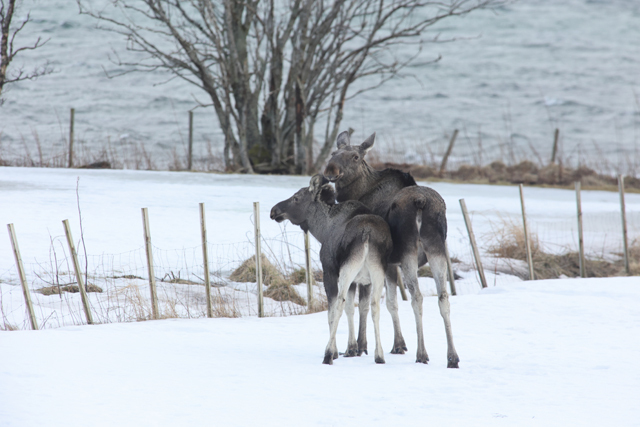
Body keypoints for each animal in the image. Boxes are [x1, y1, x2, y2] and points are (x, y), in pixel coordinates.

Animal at [270, 175, 393, 365]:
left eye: (296, 198)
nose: (274, 211)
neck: (322, 229)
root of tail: (367, 233)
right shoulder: (360, 281)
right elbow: (353, 309)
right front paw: (352, 348)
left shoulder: (329, 271)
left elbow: (332, 311)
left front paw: (336, 351)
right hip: (378, 272)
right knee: (375, 305)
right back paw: (379, 355)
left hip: (347, 269)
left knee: (340, 304)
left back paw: (328, 355)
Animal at [324, 131, 460, 368]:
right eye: (334, 153)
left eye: (355, 157)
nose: (331, 169)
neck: (359, 193)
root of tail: (421, 201)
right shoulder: (390, 263)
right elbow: (390, 302)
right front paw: (397, 345)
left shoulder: (384, 263)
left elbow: (377, 303)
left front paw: (364, 347)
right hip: (437, 248)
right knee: (443, 296)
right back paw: (452, 356)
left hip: (408, 252)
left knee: (417, 297)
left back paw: (422, 353)